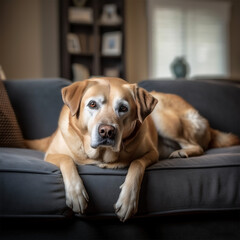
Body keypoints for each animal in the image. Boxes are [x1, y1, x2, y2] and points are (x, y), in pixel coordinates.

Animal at [25, 78, 239, 222]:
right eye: (92, 104)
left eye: (123, 108)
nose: (107, 131)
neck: (102, 156)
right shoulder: (52, 153)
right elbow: (67, 160)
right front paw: (77, 194)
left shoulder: (151, 153)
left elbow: (136, 165)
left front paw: (127, 200)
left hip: (161, 117)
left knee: (196, 145)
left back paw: (182, 152)